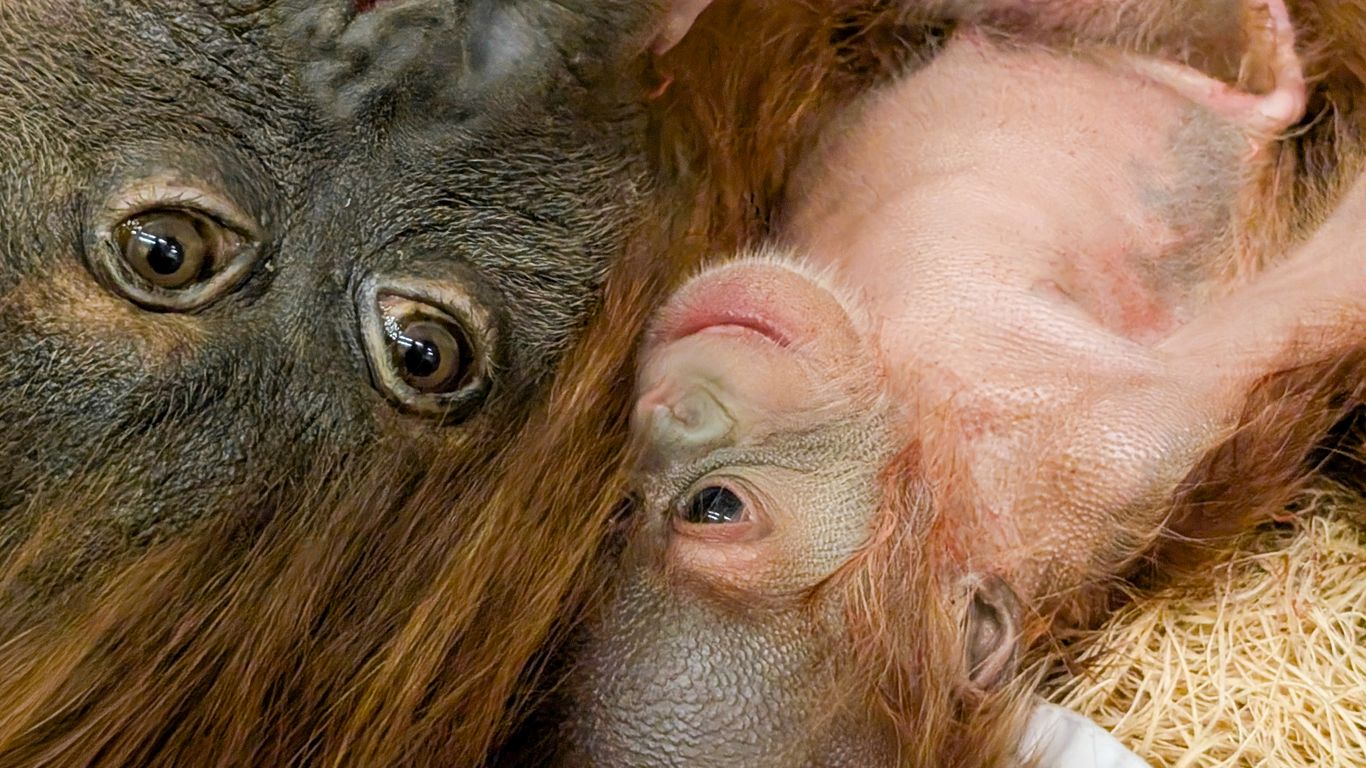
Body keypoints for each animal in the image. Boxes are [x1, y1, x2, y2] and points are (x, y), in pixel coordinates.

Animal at [552, 1, 1365, 765]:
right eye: (712, 506)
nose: (660, 404)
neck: (917, 426)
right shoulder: (1117, 447)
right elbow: (1280, 321)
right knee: (1257, 110)